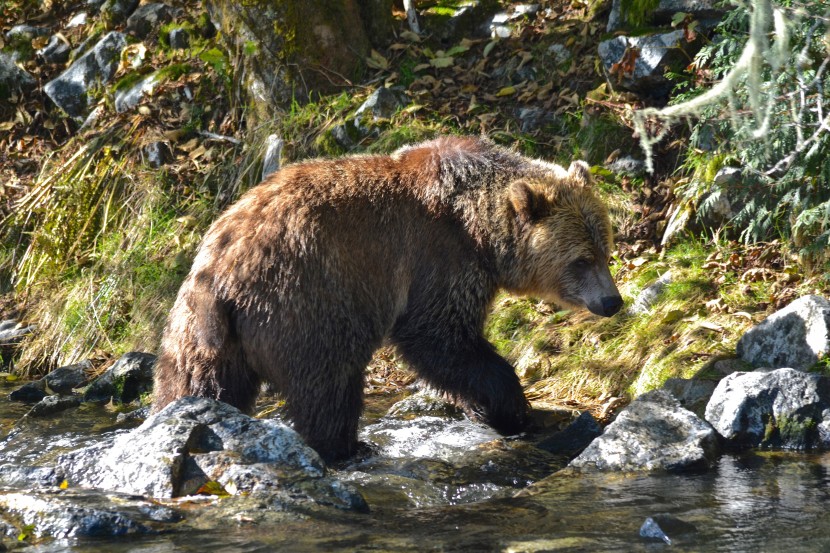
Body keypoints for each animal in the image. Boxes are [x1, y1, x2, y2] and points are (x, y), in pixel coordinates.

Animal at [154, 135, 624, 462]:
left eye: (606, 249)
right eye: (581, 260)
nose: (612, 302)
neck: (480, 228)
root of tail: (226, 271)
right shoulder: (439, 257)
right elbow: (439, 338)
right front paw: (513, 408)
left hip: (201, 326)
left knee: (195, 384)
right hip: (307, 296)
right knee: (329, 379)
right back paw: (346, 447)